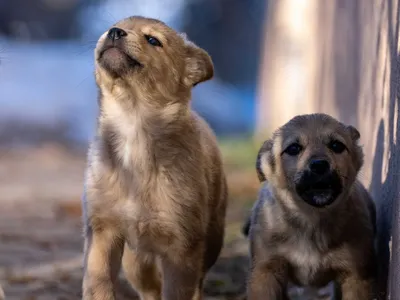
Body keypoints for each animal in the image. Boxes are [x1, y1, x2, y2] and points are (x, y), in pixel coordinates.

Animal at [82, 16, 228, 300]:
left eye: (153, 40)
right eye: (114, 26)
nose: (114, 32)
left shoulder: (181, 249)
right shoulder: (103, 232)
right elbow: (99, 284)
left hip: (210, 242)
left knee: (197, 285)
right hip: (135, 261)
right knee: (150, 290)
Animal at [244, 114, 378, 300]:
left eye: (336, 145)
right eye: (293, 148)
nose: (319, 165)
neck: (311, 220)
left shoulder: (356, 274)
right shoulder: (266, 272)